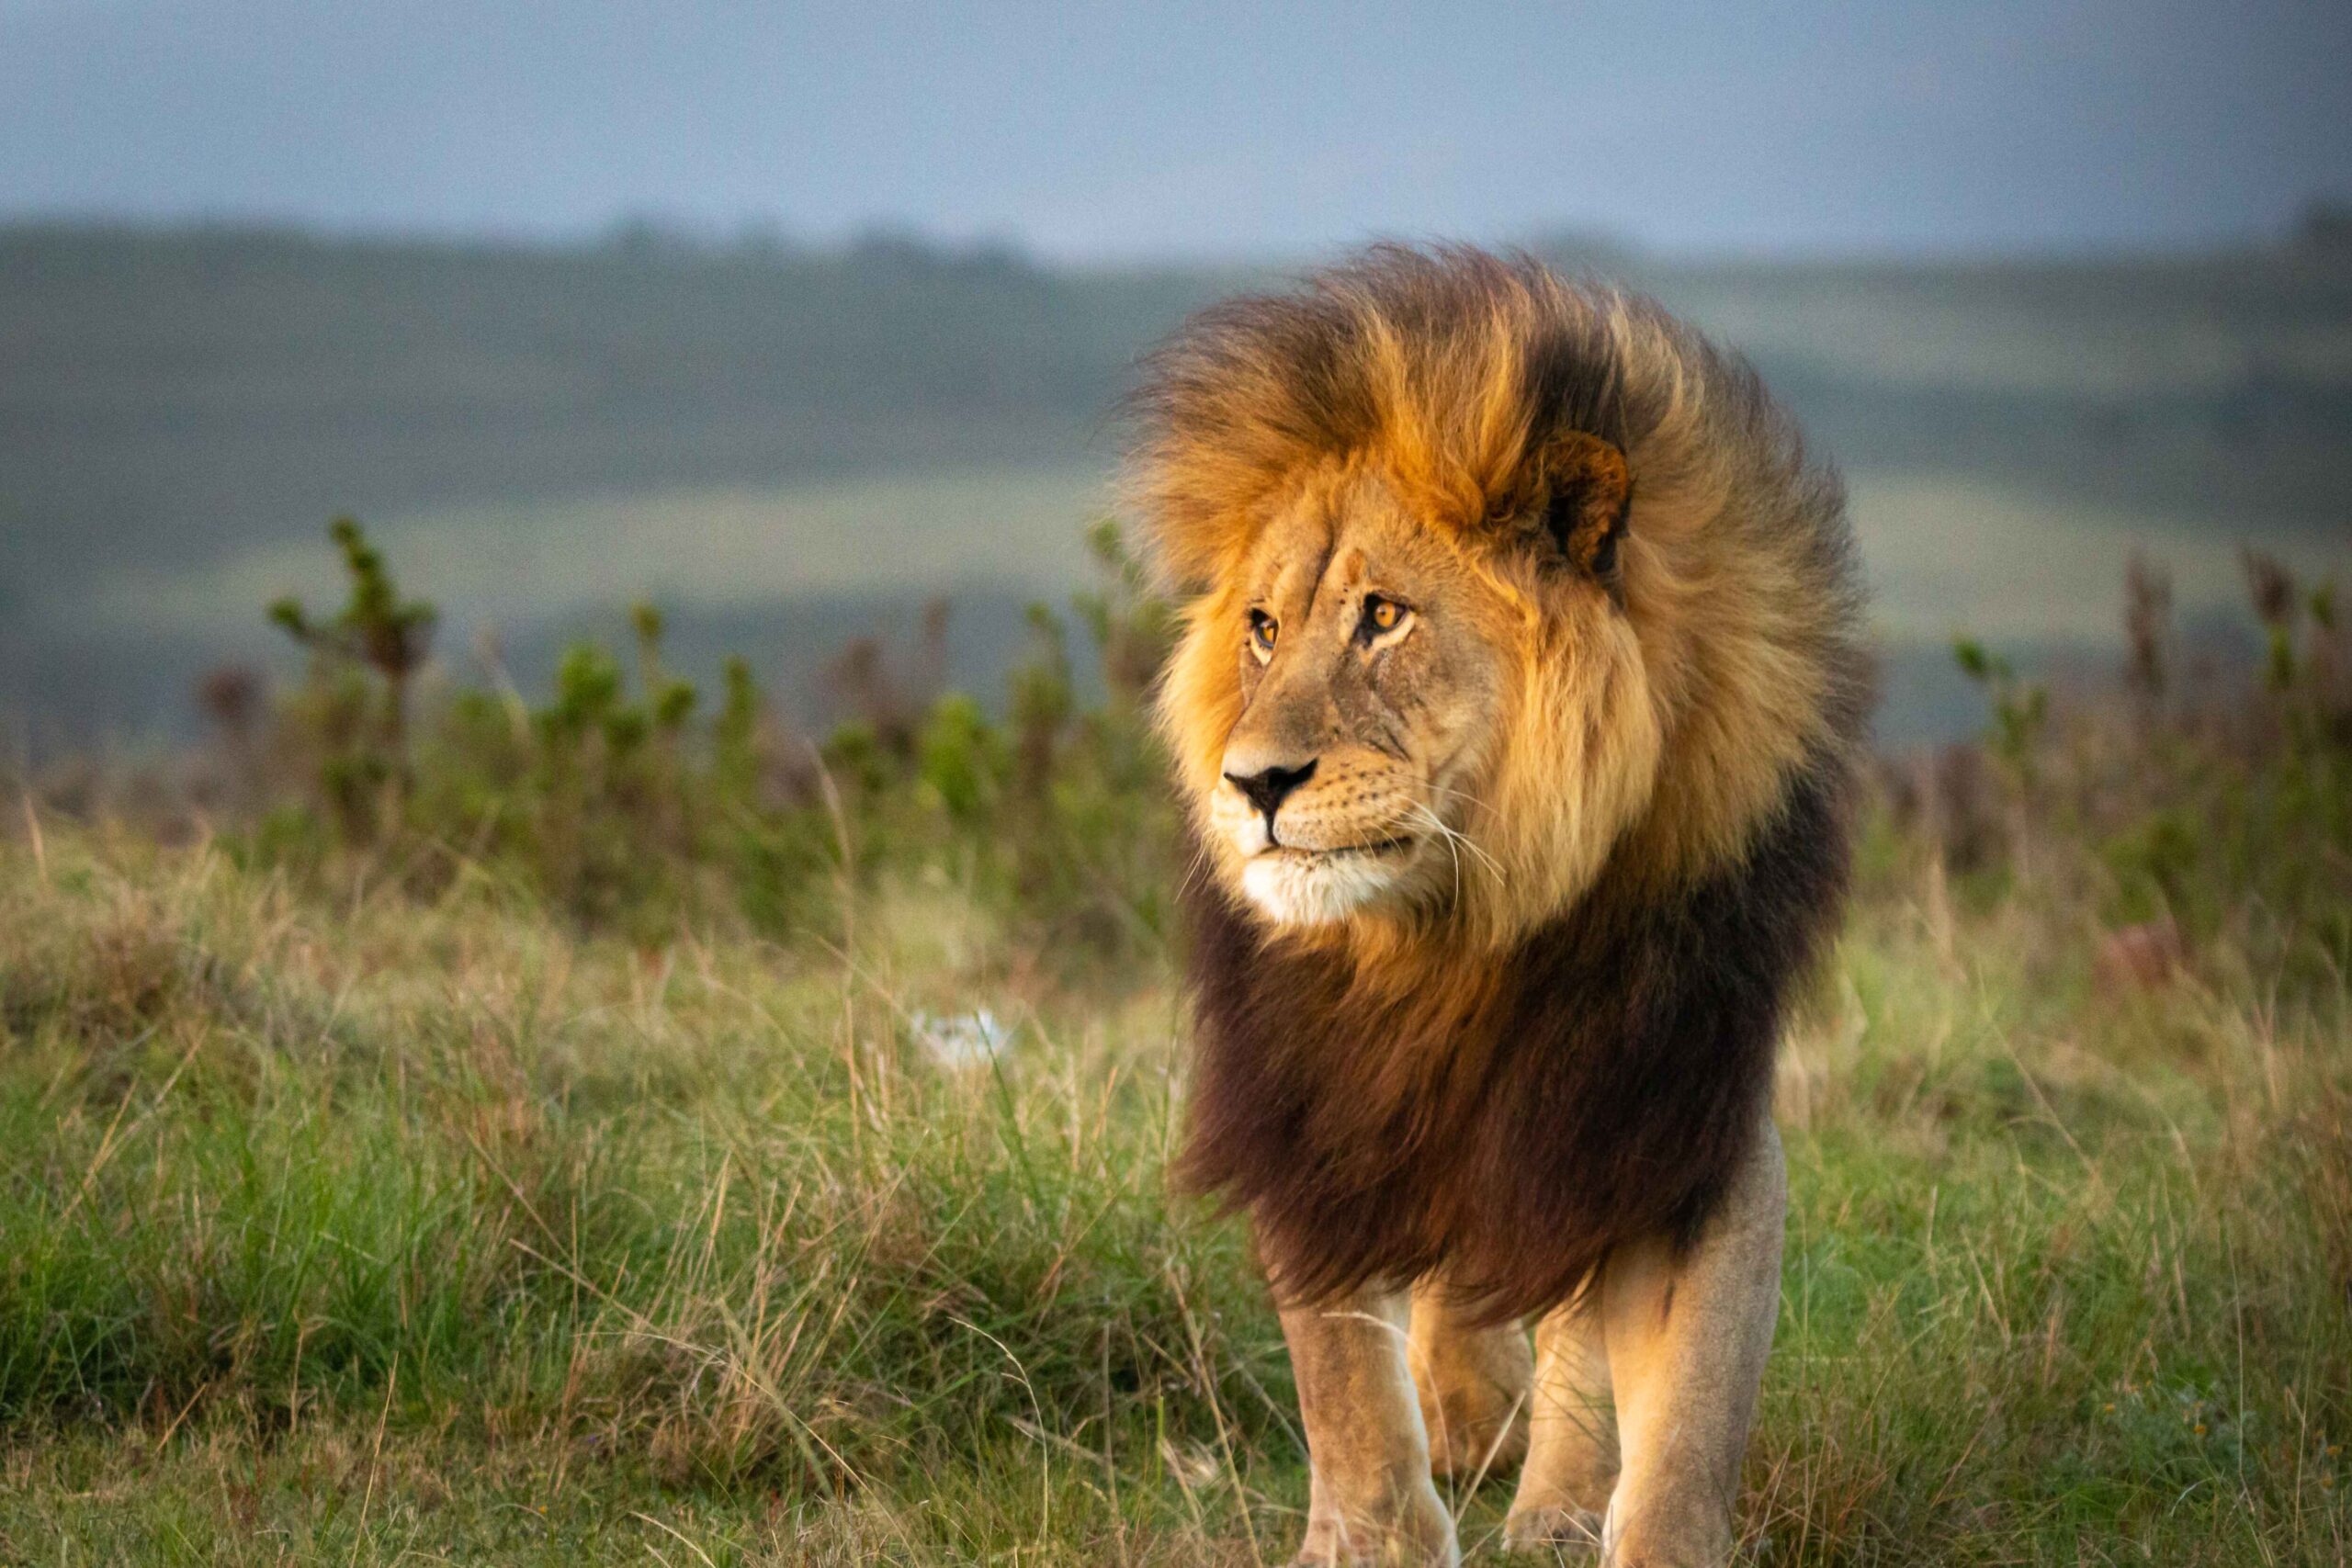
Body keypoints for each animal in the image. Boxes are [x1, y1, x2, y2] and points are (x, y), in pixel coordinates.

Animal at [1124, 251, 1871, 1561]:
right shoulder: (1316, 1099)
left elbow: (1686, 1413)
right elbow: (1341, 1376)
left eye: (1383, 617)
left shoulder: (1669, 1108)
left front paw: (1607, 1516)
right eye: (1261, 630)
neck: (1465, 929)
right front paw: (1368, 1541)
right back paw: (1472, 1419)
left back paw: (1549, 1493)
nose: (1251, 783)